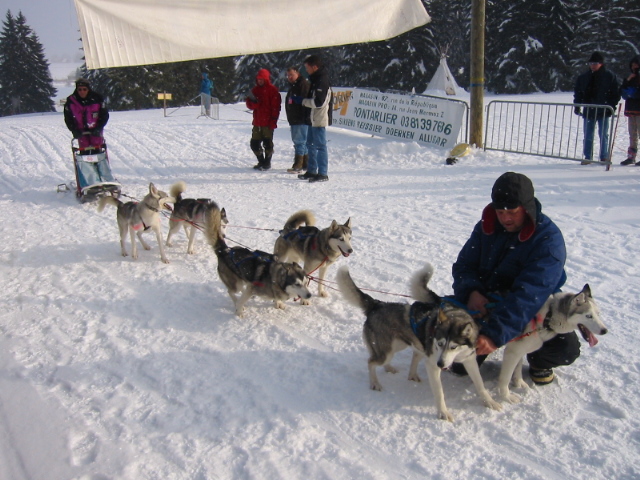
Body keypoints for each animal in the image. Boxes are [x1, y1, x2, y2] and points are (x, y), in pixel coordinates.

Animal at [338, 264, 502, 422]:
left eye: (453, 347)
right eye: (440, 344)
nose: (441, 364)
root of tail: (377, 304)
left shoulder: (469, 360)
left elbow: (480, 384)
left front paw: (490, 402)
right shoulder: (432, 365)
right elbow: (439, 393)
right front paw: (443, 413)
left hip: (399, 345)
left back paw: (396, 370)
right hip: (388, 351)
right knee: (371, 362)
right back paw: (375, 383)